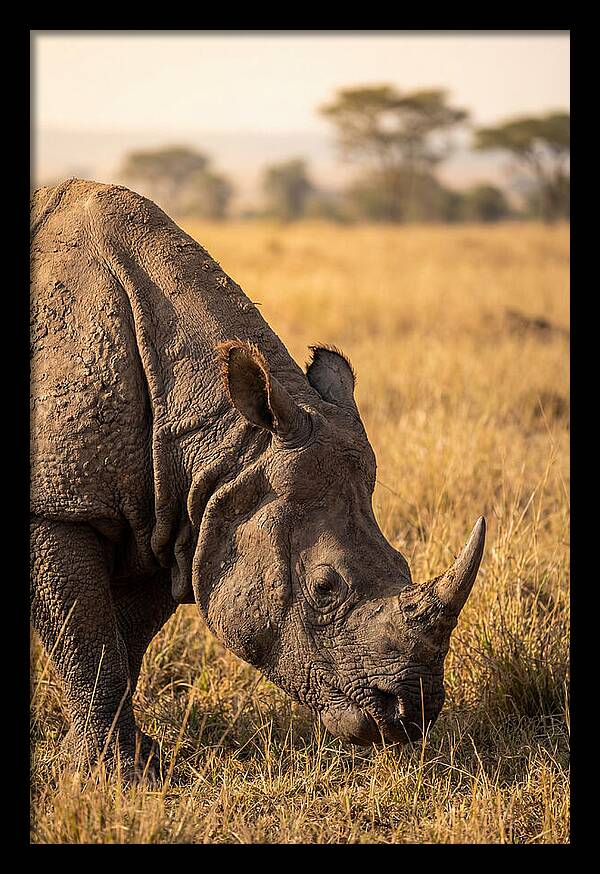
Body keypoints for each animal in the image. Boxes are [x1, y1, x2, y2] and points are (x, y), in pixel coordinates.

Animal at [30, 179, 485, 780]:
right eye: (324, 588)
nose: (411, 715)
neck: (223, 442)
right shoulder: (58, 506)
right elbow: (92, 648)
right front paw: (116, 777)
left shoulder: (173, 517)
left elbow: (122, 644)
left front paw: (127, 765)